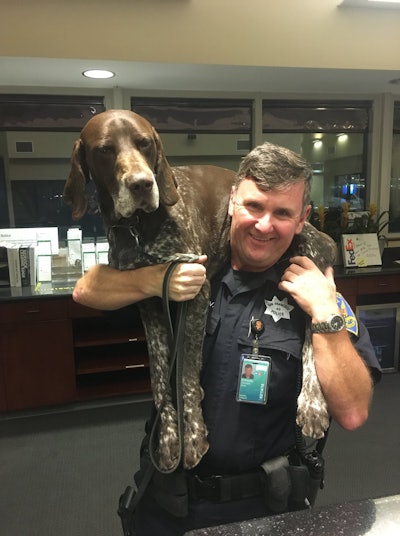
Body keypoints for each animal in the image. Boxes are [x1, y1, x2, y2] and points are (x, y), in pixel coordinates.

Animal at [64, 111, 334, 472]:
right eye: (105, 150)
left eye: (144, 143)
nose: (141, 184)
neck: (139, 227)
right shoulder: (150, 301)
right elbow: (161, 374)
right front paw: (168, 438)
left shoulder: (197, 286)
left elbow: (185, 372)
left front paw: (192, 436)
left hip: (309, 252)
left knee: (310, 335)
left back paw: (312, 404)